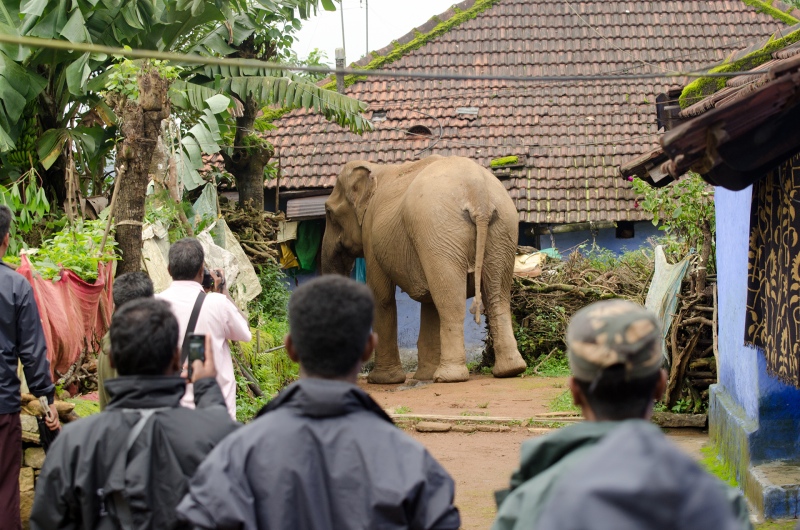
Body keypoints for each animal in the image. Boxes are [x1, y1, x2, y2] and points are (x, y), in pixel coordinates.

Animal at [322, 155, 528, 382]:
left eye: (329, 213)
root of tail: (479, 193)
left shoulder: (370, 233)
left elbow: (381, 296)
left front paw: (383, 380)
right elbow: (428, 302)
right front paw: (424, 377)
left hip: (440, 229)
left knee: (450, 300)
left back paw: (448, 377)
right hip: (503, 229)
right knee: (496, 297)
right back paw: (510, 370)